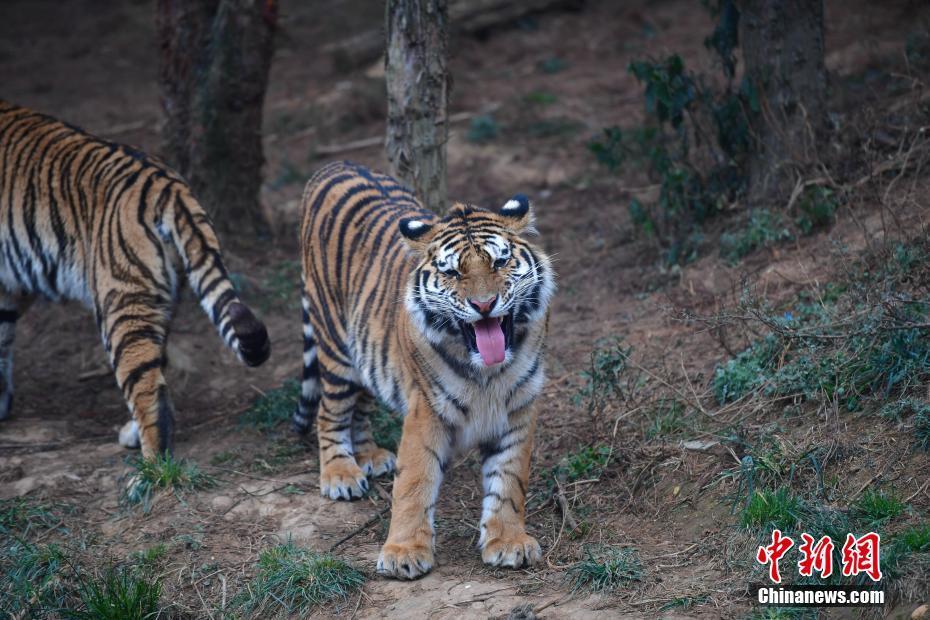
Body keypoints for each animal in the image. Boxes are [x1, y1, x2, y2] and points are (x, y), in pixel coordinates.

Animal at [0, 103, 270, 460]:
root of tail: (170, 186)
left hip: (121, 301)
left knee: (146, 388)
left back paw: (152, 465)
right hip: (157, 300)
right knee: (158, 367)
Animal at [294, 161, 552, 580]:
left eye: (500, 261)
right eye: (453, 273)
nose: (484, 304)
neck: (487, 374)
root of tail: (334, 165)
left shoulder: (518, 409)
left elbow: (510, 479)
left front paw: (508, 540)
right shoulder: (425, 410)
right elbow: (414, 482)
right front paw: (403, 553)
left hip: (368, 352)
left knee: (361, 405)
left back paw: (369, 455)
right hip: (335, 345)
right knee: (329, 411)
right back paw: (341, 474)